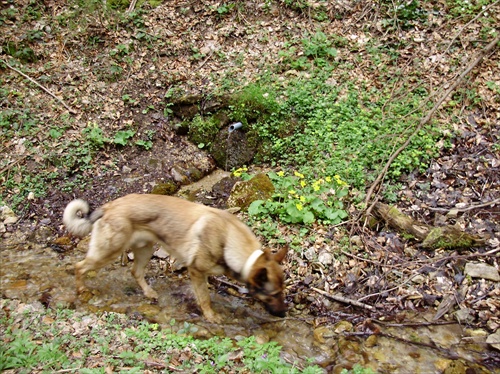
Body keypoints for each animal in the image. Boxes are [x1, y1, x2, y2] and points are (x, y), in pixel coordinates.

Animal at [63, 193, 290, 322]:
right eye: (273, 294)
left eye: (283, 291)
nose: (284, 314)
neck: (228, 239)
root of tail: (109, 206)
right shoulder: (197, 272)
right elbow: (205, 299)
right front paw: (211, 316)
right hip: (108, 253)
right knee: (79, 266)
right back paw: (81, 289)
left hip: (145, 249)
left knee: (135, 272)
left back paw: (149, 293)